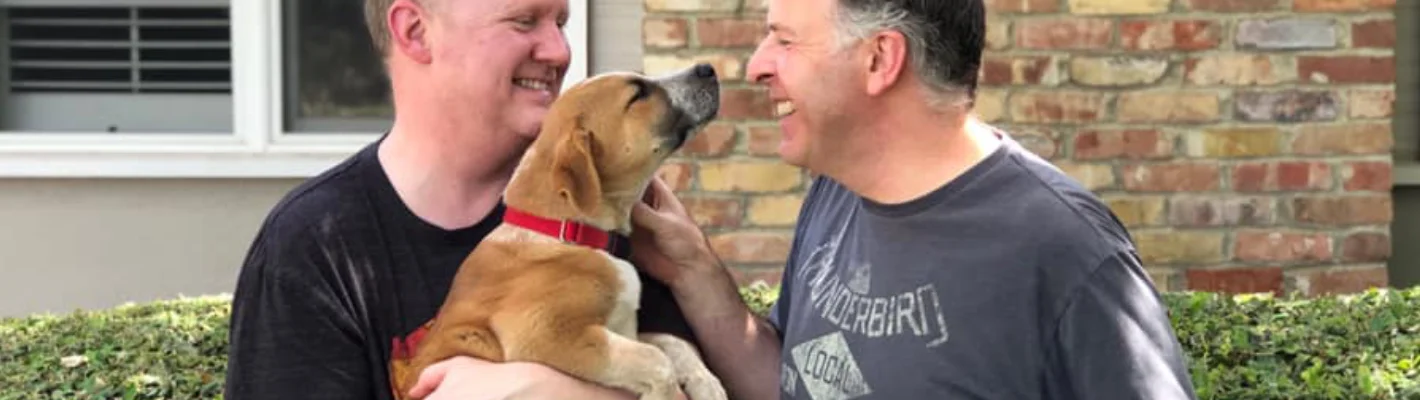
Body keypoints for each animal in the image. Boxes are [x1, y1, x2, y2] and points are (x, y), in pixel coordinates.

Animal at [389, 63, 727, 400]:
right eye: (638, 94)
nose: (707, 68)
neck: (566, 231)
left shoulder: (624, 328)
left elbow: (670, 342)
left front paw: (706, 382)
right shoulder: (545, 331)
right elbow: (655, 359)